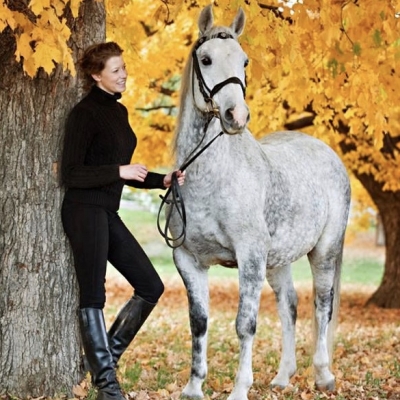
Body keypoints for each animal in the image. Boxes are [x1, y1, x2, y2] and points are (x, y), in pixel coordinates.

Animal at [166, 4, 350, 398]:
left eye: (244, 61)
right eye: (205, 59)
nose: (236, 116)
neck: (211, 176)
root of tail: (325, 151)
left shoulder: (249, 256)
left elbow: (245, 324)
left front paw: (239, 389)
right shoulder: (188, 259)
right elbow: (199, 322)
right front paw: (194, 386)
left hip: (324, 250)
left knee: (322, 304)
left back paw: (323, 374)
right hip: (277, 259)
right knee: (289, 305)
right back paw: (283, 376)